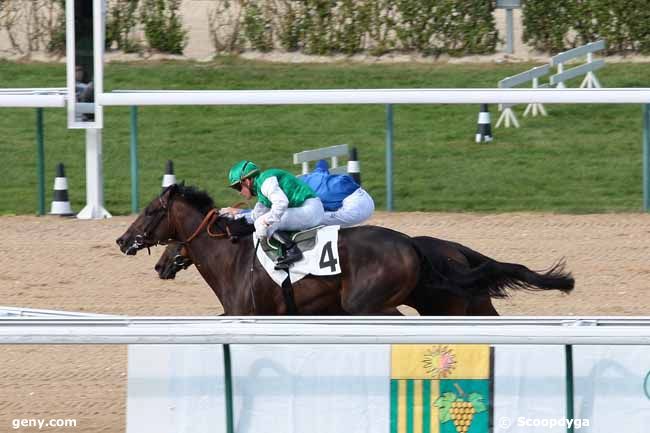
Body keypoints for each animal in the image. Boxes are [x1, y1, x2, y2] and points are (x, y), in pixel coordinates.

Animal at [116, 184, 572, 316]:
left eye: (151, 211)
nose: (123, 240)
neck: (234, 259)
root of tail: (412, 244)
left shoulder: (248, 314)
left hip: (368, 305)